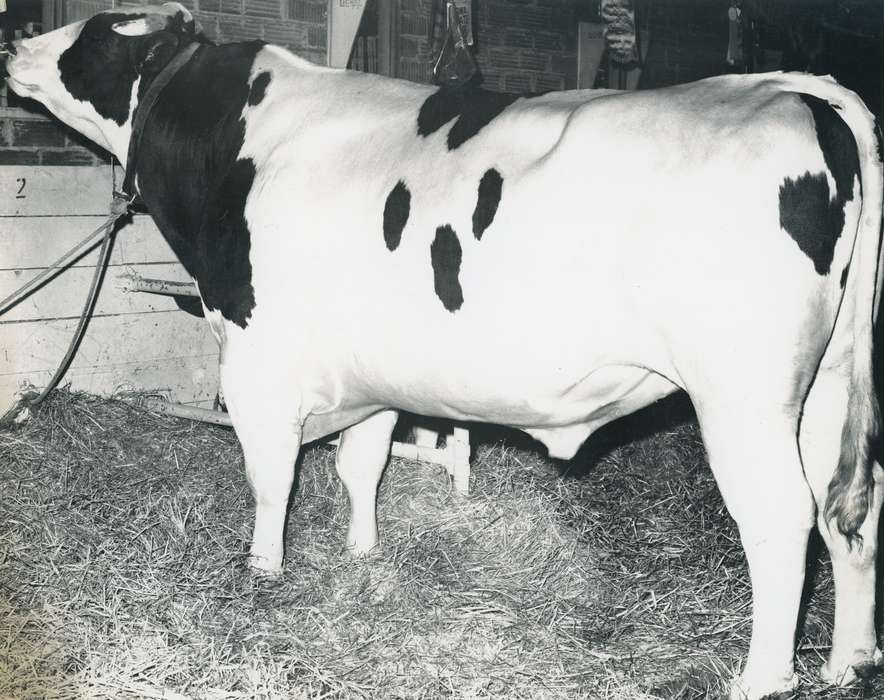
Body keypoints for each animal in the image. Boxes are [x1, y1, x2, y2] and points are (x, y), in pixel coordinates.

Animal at [3, 4, 882, 698]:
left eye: (95, 33)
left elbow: (270, 475)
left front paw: (263, 570)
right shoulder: (370, 370)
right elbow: (360, 466)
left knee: (782, 517)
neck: (238, 140)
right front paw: (362, 554)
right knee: (850, 506)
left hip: (743, 395)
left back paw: (762, 678)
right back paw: (847, 662)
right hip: (829, 381)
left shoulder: (256, 356)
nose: (13, 40)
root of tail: (789, 88)